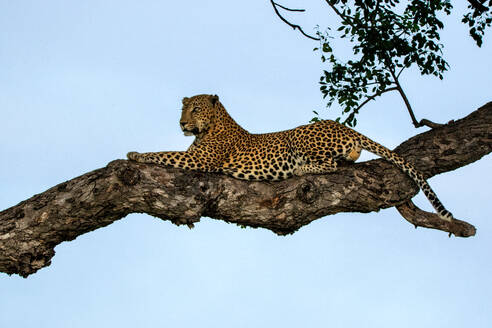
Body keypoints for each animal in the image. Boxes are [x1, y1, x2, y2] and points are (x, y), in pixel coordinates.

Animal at [129, 95, 456, 223]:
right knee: (345, 161)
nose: (182, 124)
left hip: (300, 136)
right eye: (184, 109)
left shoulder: (199, 159)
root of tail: (345, 127)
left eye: (195, 109)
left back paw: (300, 168)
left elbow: (163, 153)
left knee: (330, 164)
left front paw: (134, 154)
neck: (212, 126)